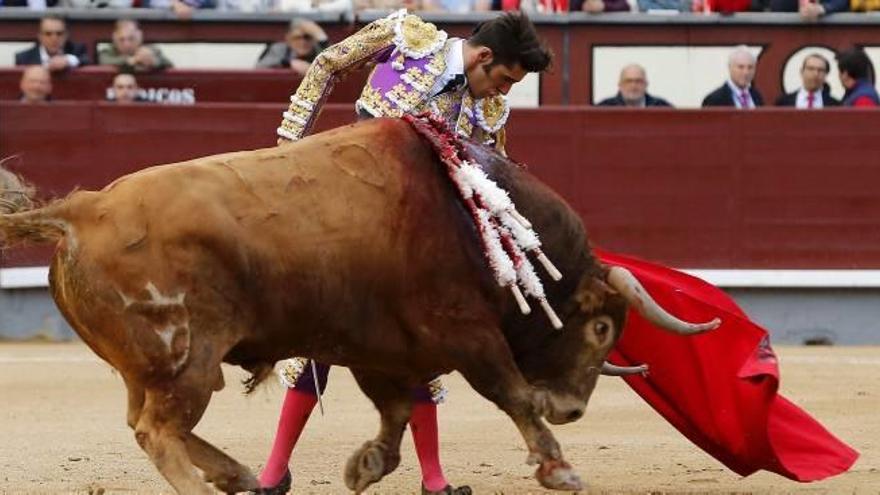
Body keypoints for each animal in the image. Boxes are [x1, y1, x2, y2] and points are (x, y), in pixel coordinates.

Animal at [0, 118, 716, 494]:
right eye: (601, 327)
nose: (570, 410)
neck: (471, 219)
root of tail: (81, 209)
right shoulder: (465, 333)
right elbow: (509, 392)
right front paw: (559, 466)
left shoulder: (386, 350)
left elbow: (398, 417)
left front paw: (364, 465)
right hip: (188, 359)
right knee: (157, 430)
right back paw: (212, 484)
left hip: (152, 366)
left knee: (143, 421)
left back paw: (243, 474)